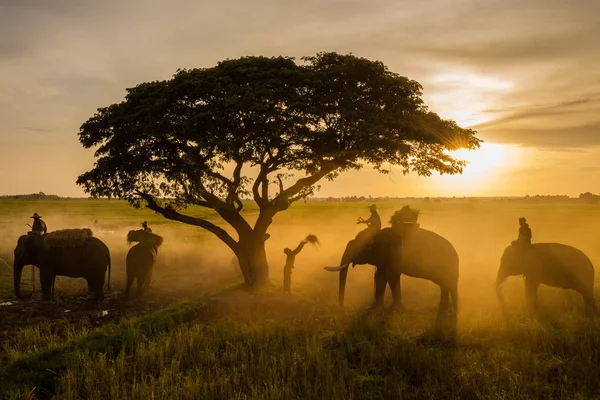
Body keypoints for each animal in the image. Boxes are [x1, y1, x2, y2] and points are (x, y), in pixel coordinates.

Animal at [324, 225, 460, 316]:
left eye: (357, 249)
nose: (343, 308)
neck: (376, 235)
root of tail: (456, 253)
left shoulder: (392, 256)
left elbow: (391, 276)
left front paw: (394, 309)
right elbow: (380, 276)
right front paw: (378, 308)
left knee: (450, 285)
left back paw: (453, 312)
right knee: (444, 286)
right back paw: (442, 310)